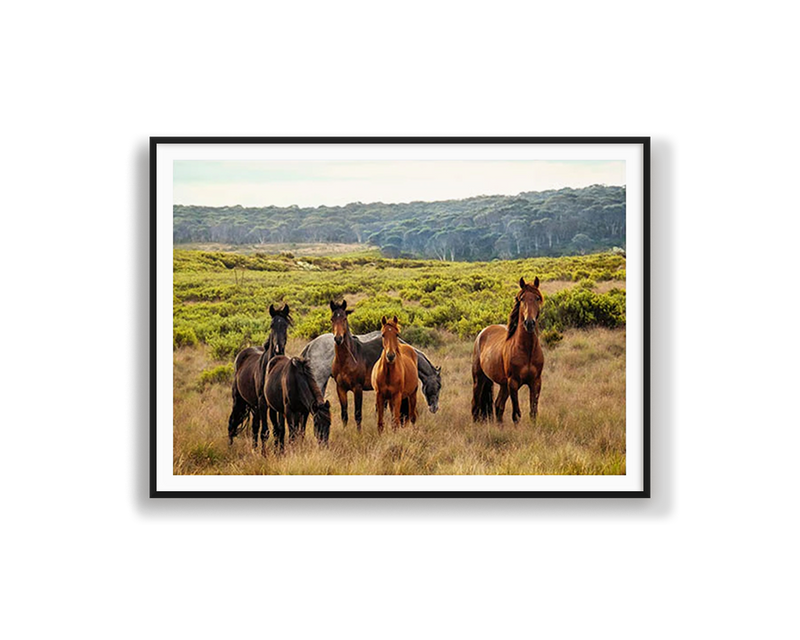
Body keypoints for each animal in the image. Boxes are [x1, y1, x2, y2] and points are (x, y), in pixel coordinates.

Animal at [227, 302, 292, 448]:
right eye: (272, 325)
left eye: (285, 325)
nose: (278, 349)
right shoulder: (262, 403)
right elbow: (265, 431)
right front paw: (265, 453)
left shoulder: (277, 405)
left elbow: (280, 430)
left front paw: (280, 450)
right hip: (239, 401)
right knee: (232, 423)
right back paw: (231, 447)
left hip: (254, 406)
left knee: (255, 427)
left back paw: (254, 448)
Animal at [330, 298, 374, 430]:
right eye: (332, 319)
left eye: (344, 318)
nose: (338, 339)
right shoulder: (340, 388)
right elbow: (344, 415)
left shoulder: (357, 388)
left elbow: (358, 415)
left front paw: (358, 434)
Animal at [468, 276, 544, 422]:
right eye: (522, 299)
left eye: (537, 298)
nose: (529, 323)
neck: (527, 350)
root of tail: (483, 332)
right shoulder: (513, 383)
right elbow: (516, 415)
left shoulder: (536, 382)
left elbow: (533, 413)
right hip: (479, 379)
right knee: (475, 405)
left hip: (503, 385)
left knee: (498, 406)